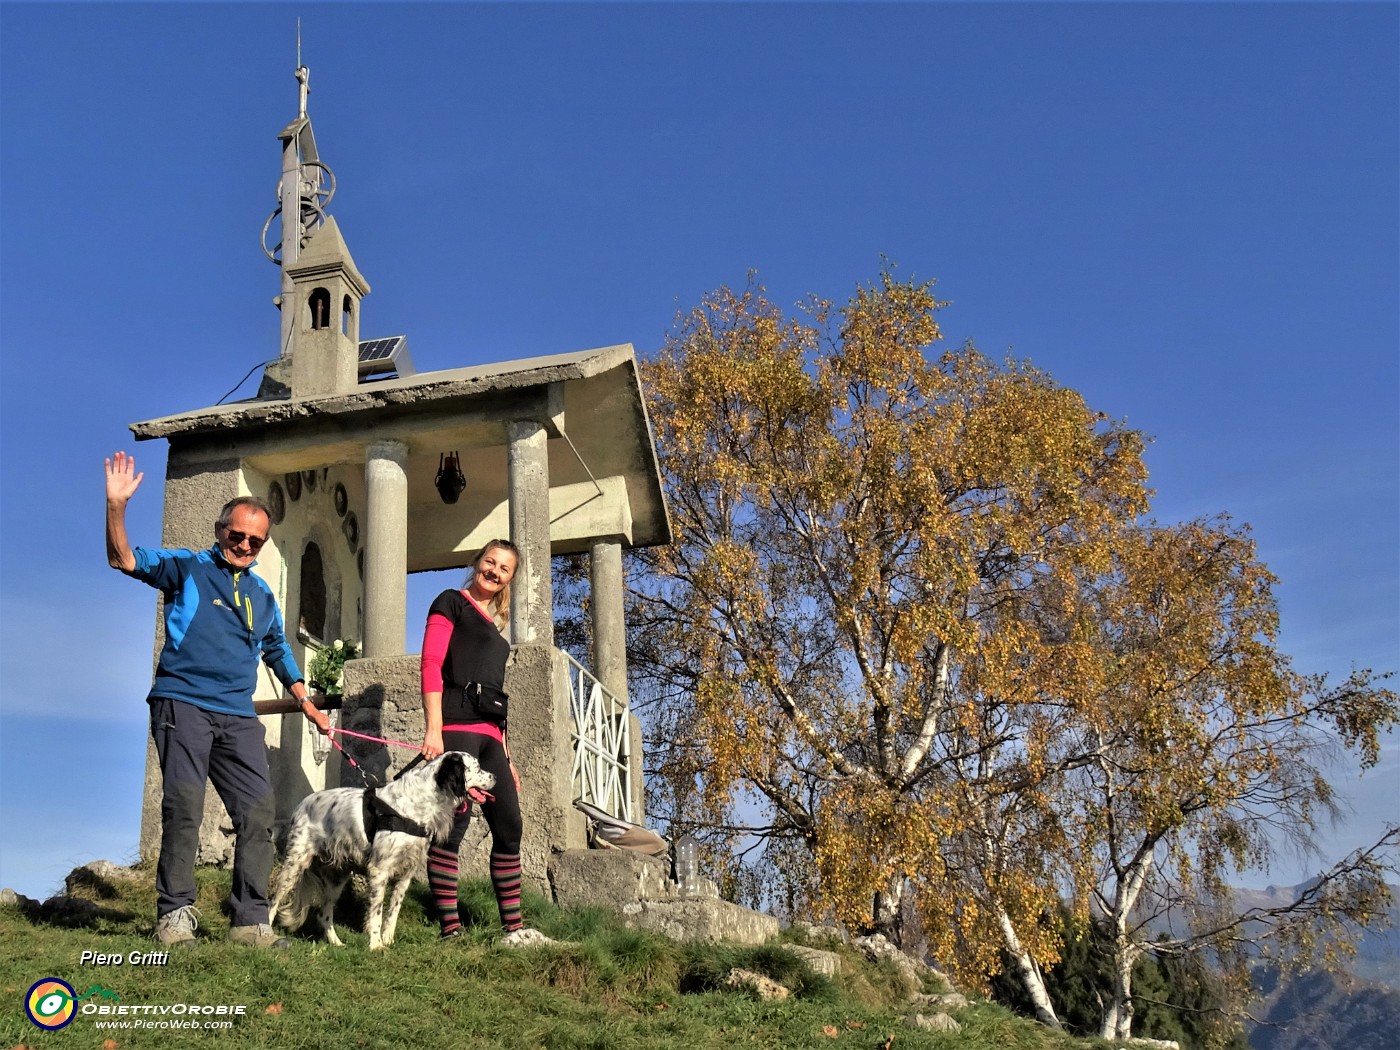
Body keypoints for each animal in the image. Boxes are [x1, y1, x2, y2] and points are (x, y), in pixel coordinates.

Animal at [270, 750, 495, 952]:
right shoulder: (379, 871)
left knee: (323, 914)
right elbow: (376, 913)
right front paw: (376, 945)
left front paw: (388, 940)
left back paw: (336, 943)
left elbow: (393, 911)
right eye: (476, 767)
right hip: (294, 865)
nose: (495, 776)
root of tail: (302, 804)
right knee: (274, 901)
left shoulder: (406, 873)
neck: (418, 805)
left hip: (337, 877)